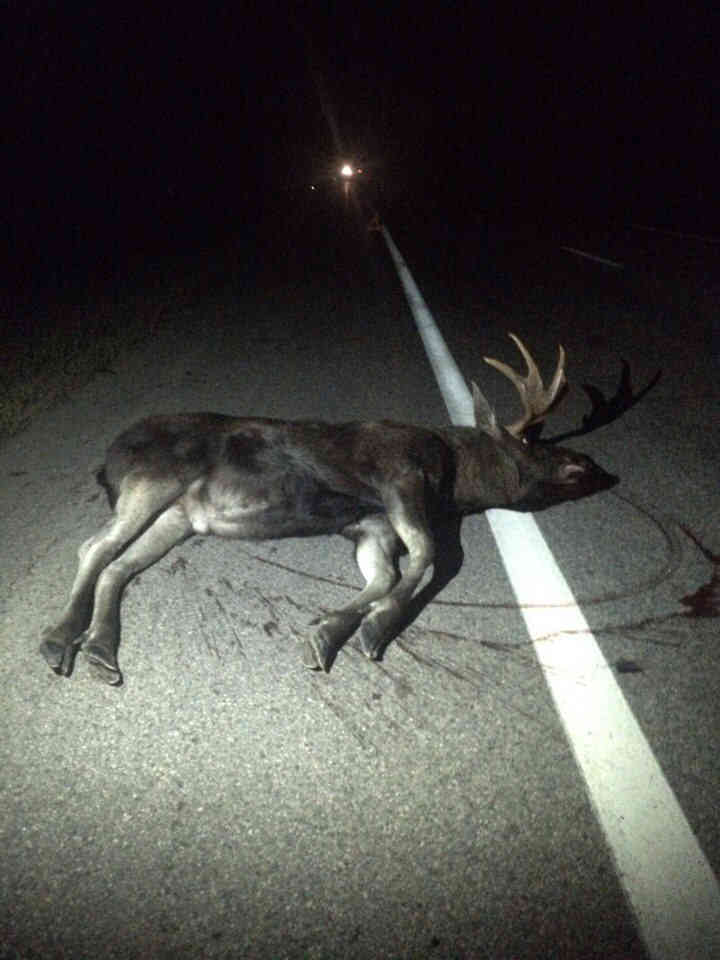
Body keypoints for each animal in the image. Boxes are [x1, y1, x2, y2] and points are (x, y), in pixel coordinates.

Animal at [38, 336, 612, 684]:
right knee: (95, 547)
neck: (454, 479)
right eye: (533, 443)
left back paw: (99, 648)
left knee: (119, 565)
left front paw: (328, 632)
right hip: (156, 478)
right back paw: (61, 637)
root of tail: (107, 459)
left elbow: (384, 577)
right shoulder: (400, 477)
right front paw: (376, 629)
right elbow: (431, 555)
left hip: (179, 516)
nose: (590, 465)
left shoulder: (370, 525)